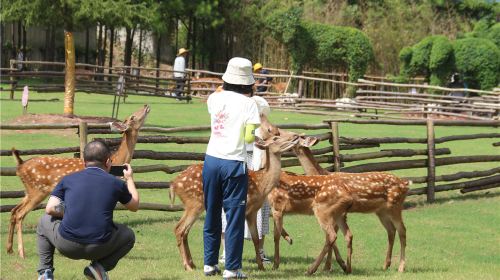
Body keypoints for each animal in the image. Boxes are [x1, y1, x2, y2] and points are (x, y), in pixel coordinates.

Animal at [6, 104, 150, 258]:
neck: (115, 161)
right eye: (132, 117)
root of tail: (20, 166)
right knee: (20, 214)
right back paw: (21, 252)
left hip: (29, 191)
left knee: (14, 210)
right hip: (37, 190)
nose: (146, 105)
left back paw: (9, 249)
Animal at [270, 145, 410, 272]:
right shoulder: (339, 214)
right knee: (391, 231)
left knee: (402, 230)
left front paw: (330, 266)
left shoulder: (337, 213)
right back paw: (386, 265)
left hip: (395, 207)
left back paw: (401, 267)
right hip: (381, 211)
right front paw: (336, 265)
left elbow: (332, 236)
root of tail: (405, 184)